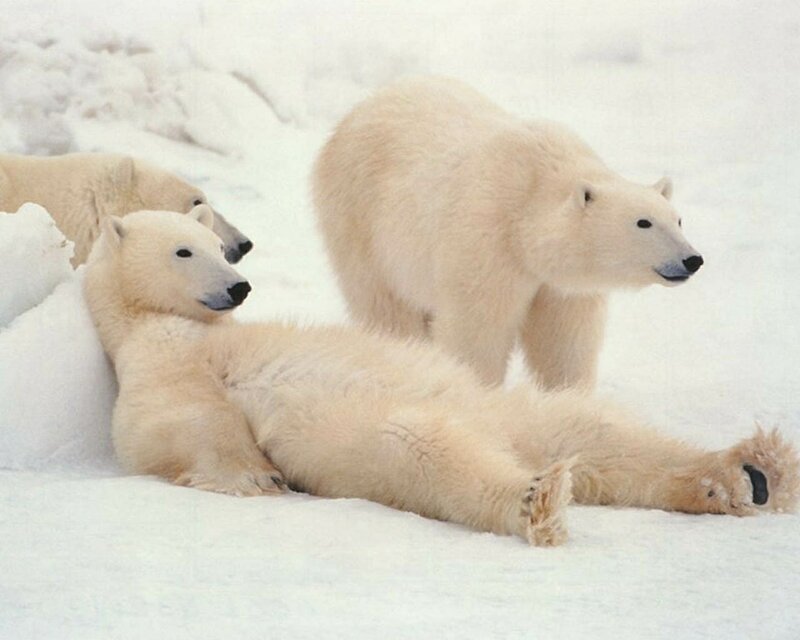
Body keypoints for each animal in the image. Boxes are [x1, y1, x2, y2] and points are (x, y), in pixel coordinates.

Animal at [83, 207, 798, 547]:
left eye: (216, 247)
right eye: (183, 250)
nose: (238, 285)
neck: (171, 326)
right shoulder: (156, 368)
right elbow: (177, 424)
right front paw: (256, 477)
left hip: (502, 407)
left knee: (591, 431)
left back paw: (750, 472)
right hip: (371, 432)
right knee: (421, 448)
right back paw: (536, 499)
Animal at [313, 77, 704, 389]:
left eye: (678, 220)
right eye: (643, 222)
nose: (692, 259)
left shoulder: (561, 286)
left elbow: (565, 340)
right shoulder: (488, 238)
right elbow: (478, 328)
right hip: (360, 220)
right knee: (386, 307)